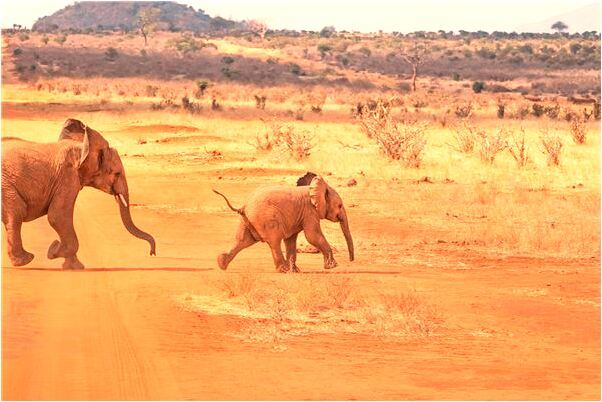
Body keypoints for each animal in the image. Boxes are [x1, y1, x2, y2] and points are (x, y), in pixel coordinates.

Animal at [1, 118, 155, 268]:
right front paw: (55, 253)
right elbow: (57, 216)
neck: (82, 147)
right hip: (6, 186)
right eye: (117, 174)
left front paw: (69, 263)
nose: (152, 253)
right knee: (17, 213)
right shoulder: (67, 176)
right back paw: (26, 260)